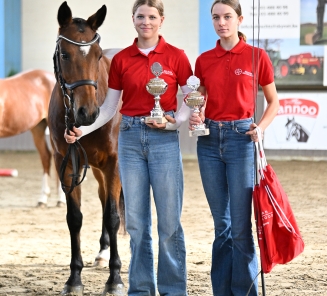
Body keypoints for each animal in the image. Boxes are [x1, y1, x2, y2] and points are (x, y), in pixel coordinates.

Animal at [48, 2, 125, 296]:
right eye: (64, 54)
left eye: (98, 55)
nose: (88, 113)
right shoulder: (68, 163)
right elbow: (75, 218)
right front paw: (74, 279)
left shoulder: (115, 162)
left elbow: (113, 216)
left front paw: (115, 279)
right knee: (104, 198)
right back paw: (103, 253)